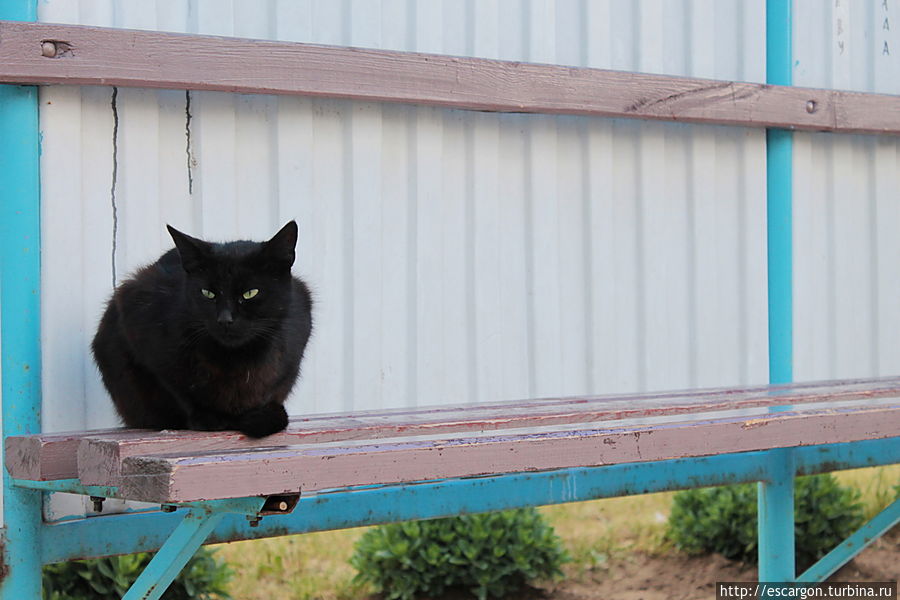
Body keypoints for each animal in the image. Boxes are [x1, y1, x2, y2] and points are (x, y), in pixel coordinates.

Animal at [92, 220, 312, 436]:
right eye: (208, 293)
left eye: (250, 293)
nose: (225, 319)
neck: (233, 360)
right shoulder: (137, 320)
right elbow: (177, 388)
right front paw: (207, 416)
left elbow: (276, 387)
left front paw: (261, 413)